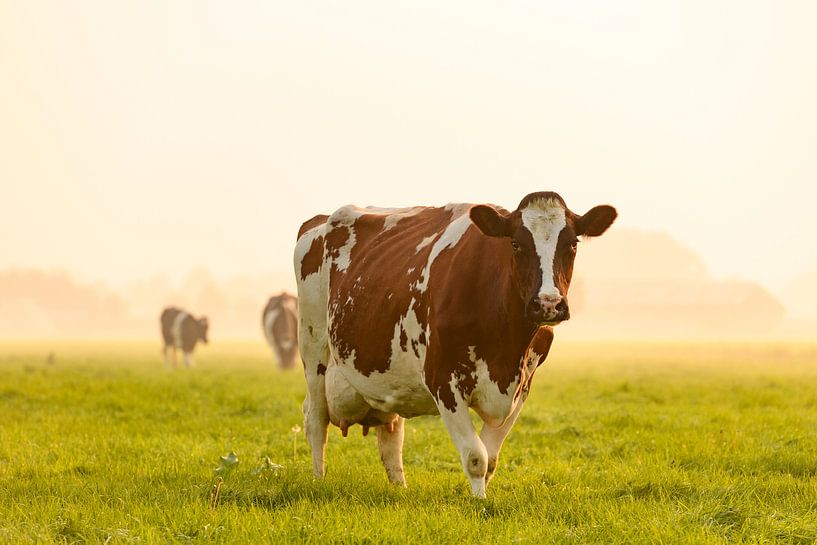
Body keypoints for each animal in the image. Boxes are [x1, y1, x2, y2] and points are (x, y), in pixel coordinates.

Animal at [294, 191, 616, 498]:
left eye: (572, 244)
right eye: (515, 244)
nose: (548, 304)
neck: (506, 351)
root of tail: (319, 220)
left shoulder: (523, 385)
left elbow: (491, 459)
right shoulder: (443, 381)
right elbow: (476, 457)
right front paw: (479, 502)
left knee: (391, 434)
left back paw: (400, 487)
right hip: (313, 346)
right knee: (316, 420)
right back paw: (318, 480)